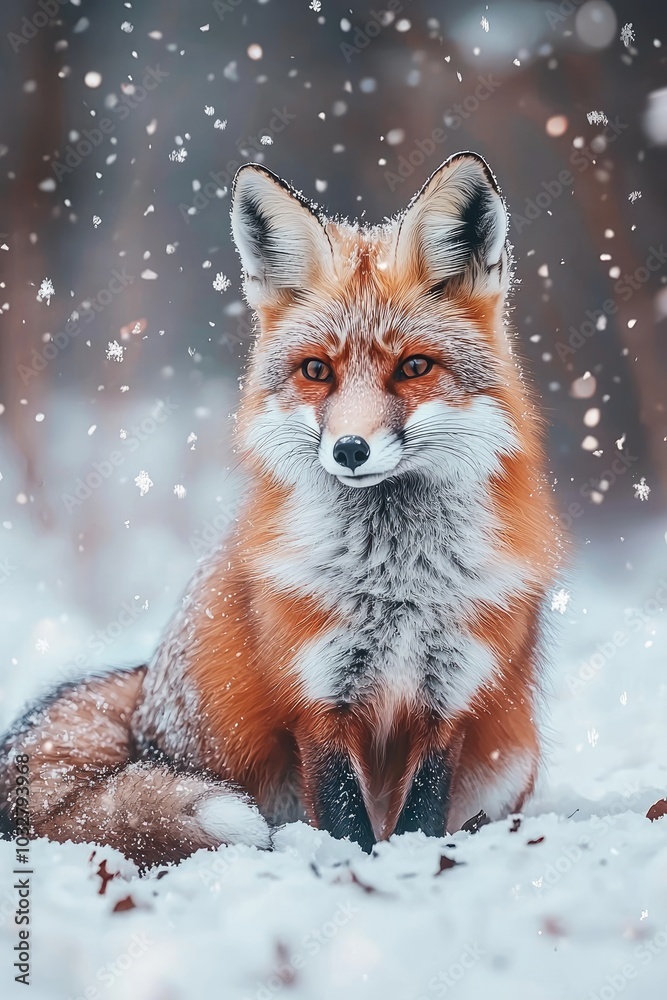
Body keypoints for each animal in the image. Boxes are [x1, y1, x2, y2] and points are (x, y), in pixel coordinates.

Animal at [0, 152, 560, 868]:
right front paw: (356, 873)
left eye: (413, 367)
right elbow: (347, 820)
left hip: (510, 761)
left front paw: (412, 867)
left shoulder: (450, 699)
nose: (350, 449)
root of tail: (140, 695)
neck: (395, 585)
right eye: (317, 371)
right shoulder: (316, 698)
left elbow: (419, 815)